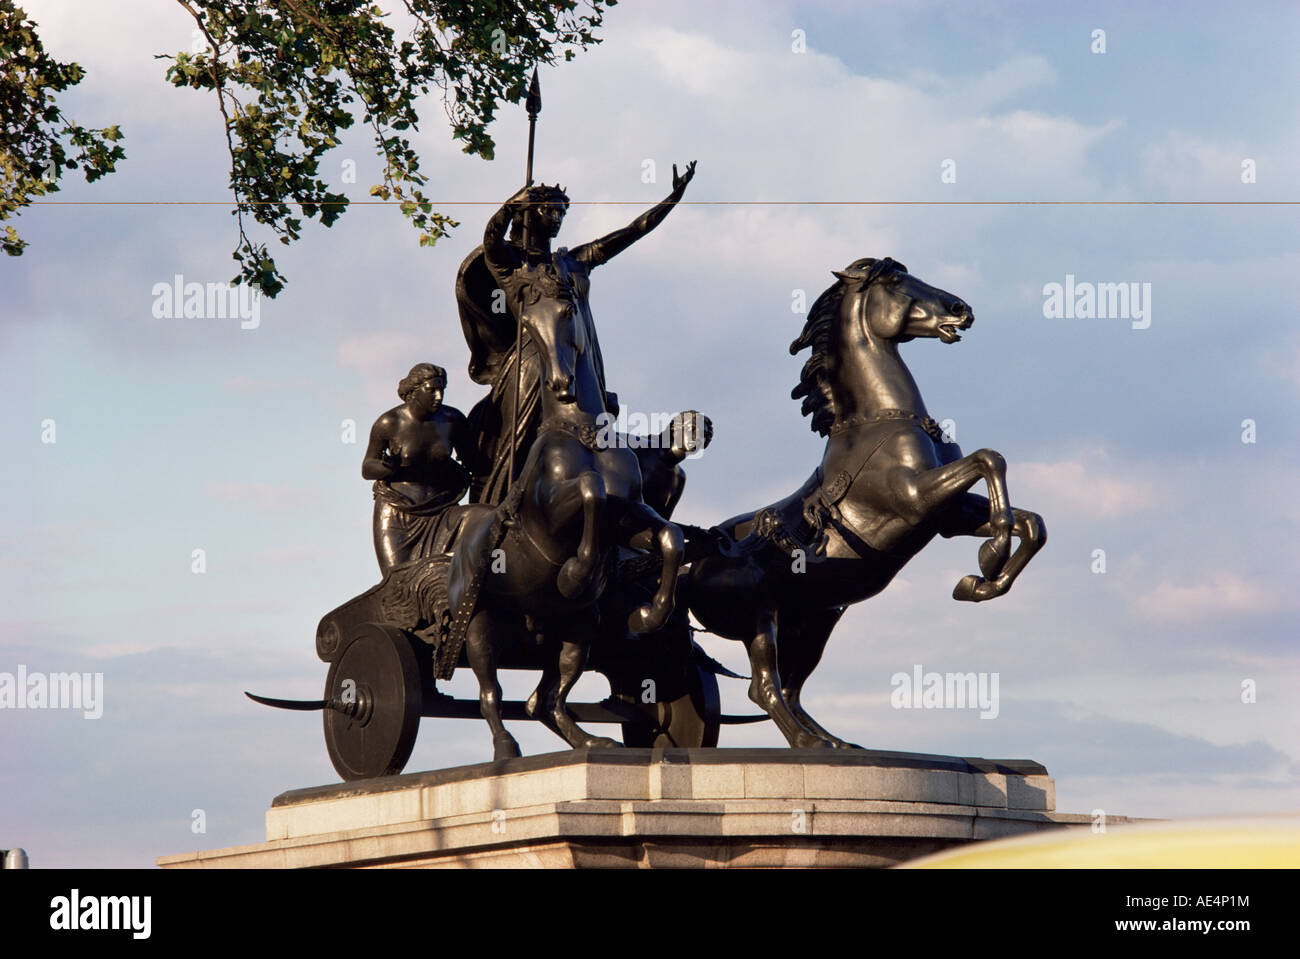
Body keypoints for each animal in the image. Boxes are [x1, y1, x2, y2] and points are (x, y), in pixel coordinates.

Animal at [691, 257, 1045, 748]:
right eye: (895, 280)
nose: (962, 309)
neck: (880, 420)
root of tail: (694, 560)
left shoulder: (948, 515)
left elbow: (1030, 522)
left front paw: (977, 583)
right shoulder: (916, 499)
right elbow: (990, 458)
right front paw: (989, 559)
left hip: (814, 621)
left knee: (792, 689)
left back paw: (834, 744)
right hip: (761, 619)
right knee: (764, 687)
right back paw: (810, 744)